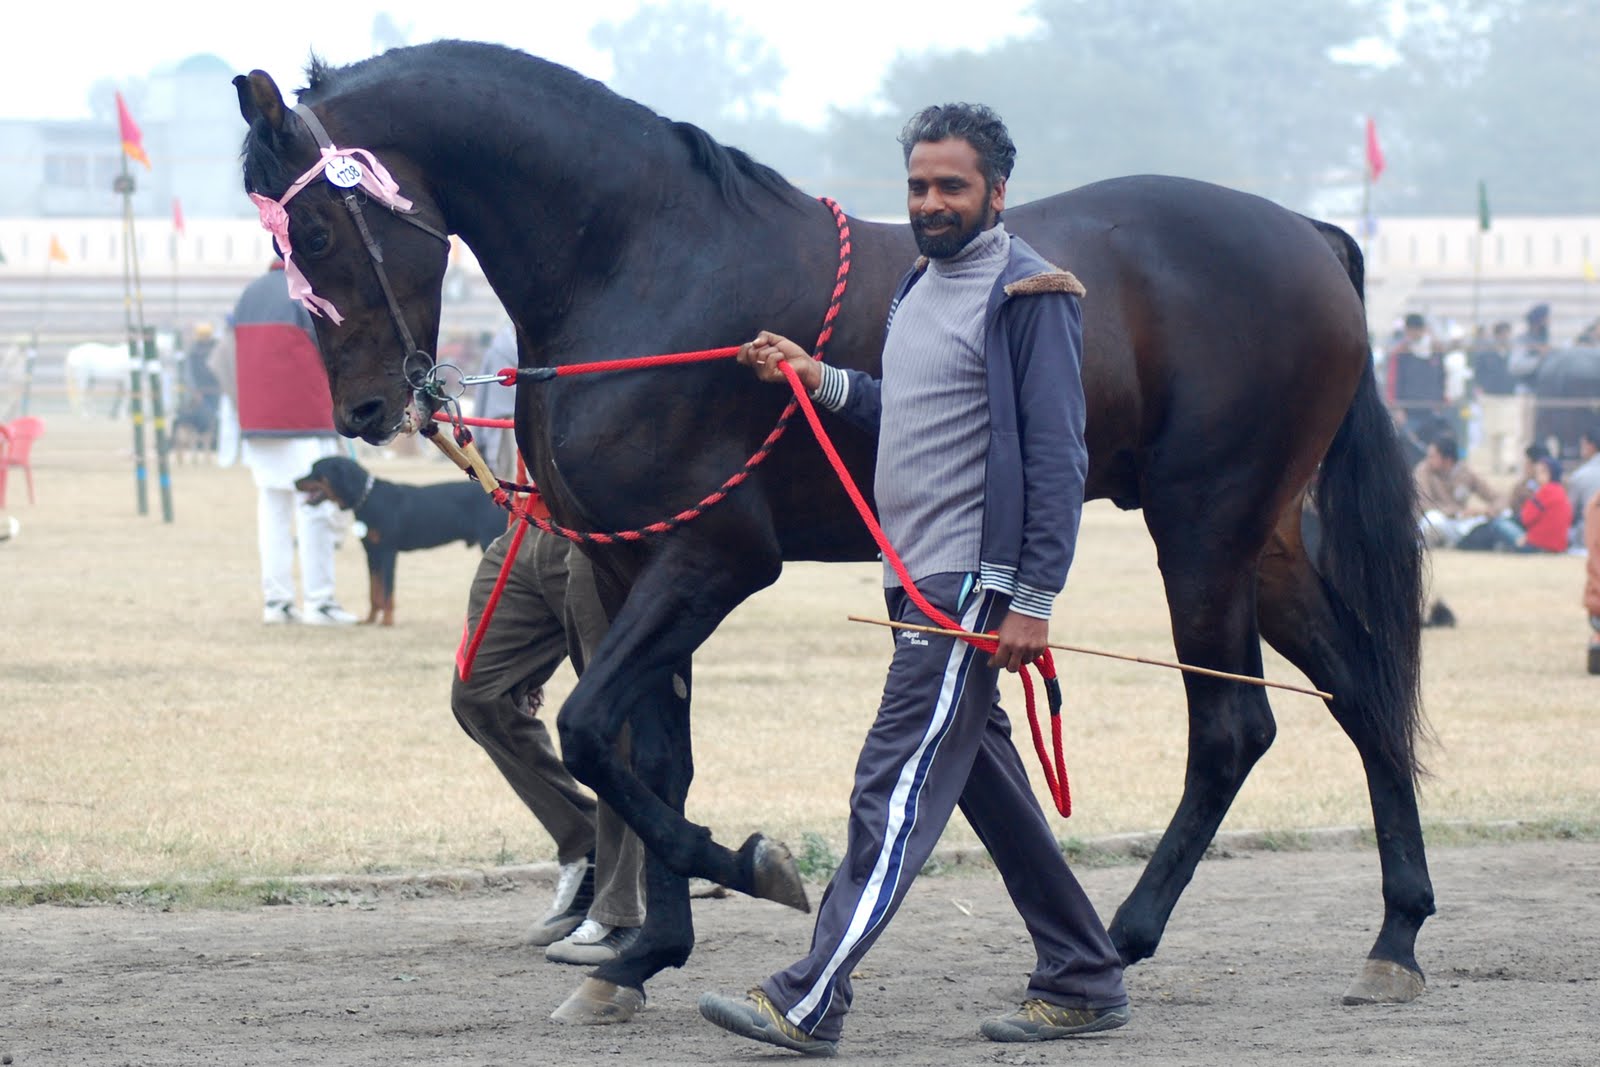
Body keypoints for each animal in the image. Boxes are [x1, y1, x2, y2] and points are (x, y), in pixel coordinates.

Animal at [233, 41, 1432, 1021]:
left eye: (321, 228)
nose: (366, 408)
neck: (648, 260)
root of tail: (1308, 233)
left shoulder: (715, 559)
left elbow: (587, 730)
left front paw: (750, 863)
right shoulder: (628, 565)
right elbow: (650, 749)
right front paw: (645, 951)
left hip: (1201, 527)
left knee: (1232, 729)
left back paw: (1127, 936)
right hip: (1262, 542)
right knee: (1362, 694)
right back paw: (1395, 934)